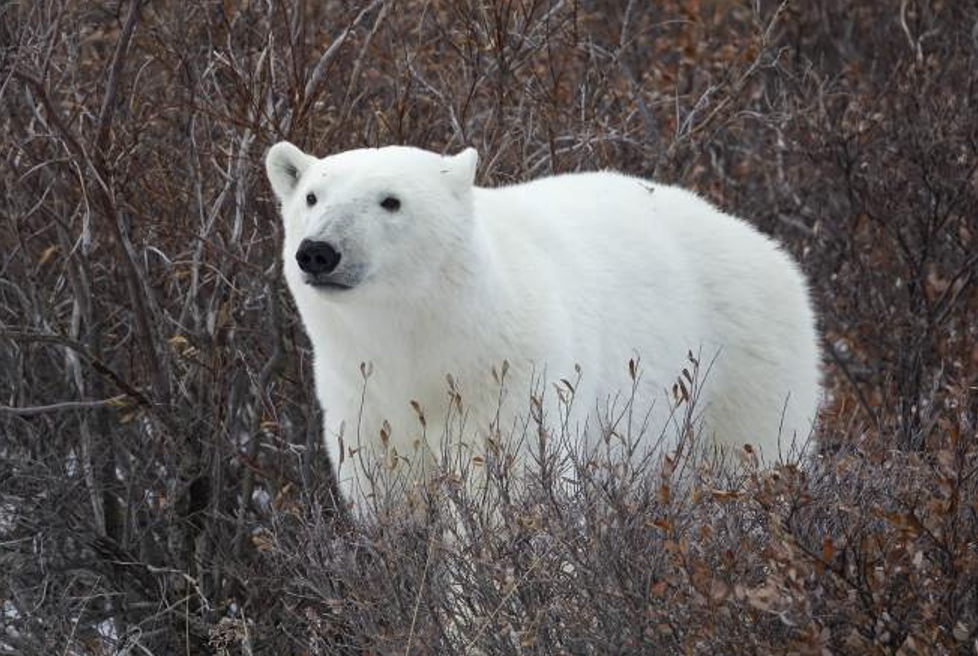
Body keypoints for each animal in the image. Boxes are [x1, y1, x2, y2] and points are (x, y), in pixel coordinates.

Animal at [265, 143, 822, 512]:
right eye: (312, 197)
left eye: (391, 200)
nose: (319, 251)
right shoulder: (360, 395)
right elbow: (387, 496)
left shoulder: (510, 378)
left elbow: (506, 497)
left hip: (742, 372)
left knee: (748, 468)